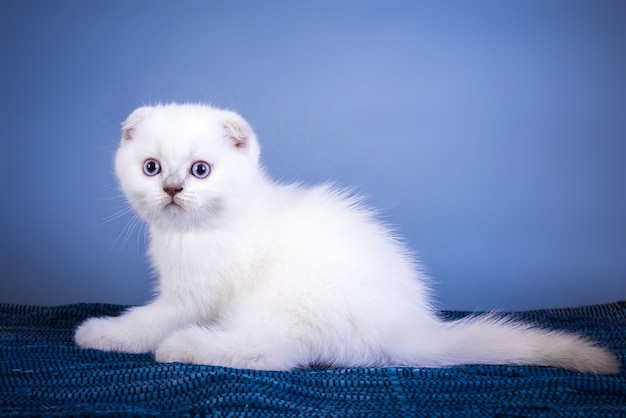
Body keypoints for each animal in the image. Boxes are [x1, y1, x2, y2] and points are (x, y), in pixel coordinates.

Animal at [75, 103, 616, 374]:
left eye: (200, 170)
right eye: (151, 167)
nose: (171, 189)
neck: (196, 234)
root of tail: (405, 330)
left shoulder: (191, 295)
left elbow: (148, 322)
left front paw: (102, 332)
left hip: (282, 295)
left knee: (273, 354)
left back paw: (184, 346)